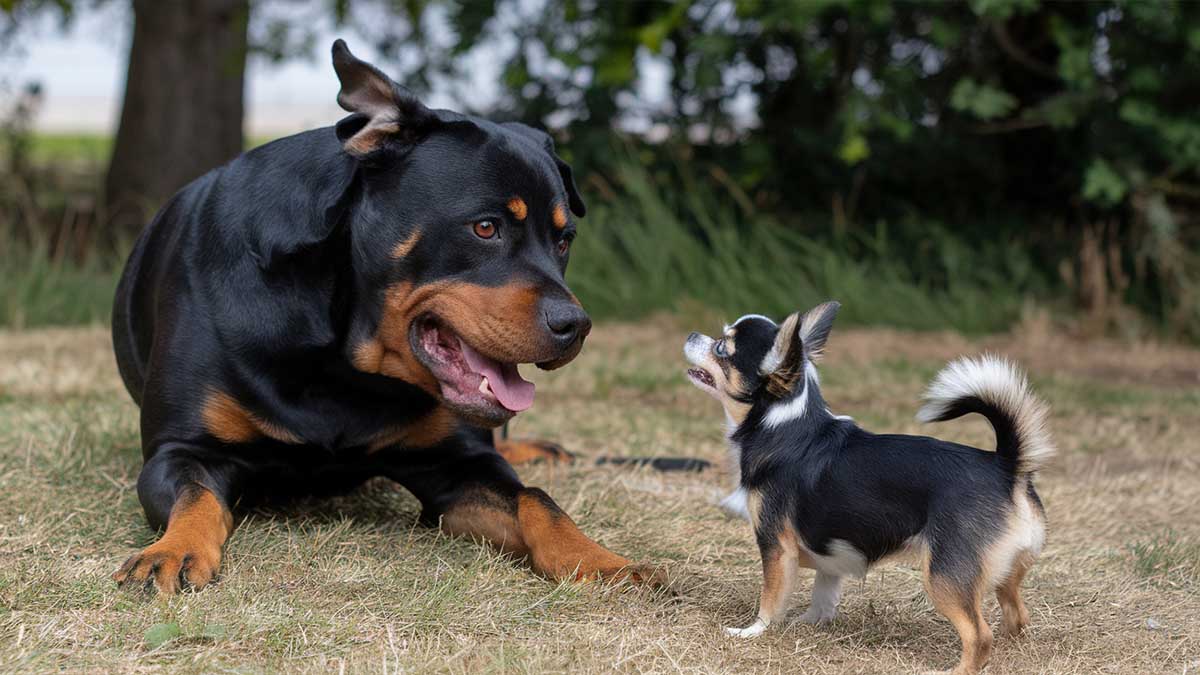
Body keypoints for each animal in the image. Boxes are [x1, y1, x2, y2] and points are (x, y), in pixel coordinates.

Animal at [110, 39, 657, 590]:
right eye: (485, 228)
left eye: (564, 241)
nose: (576, 326)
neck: (344, 355)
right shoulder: (179, 449)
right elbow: (194, 495)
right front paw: (173, 550)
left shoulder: (457, 464)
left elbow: (535, 499)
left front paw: (601, 561)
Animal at [686, 300, 1051, 672]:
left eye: (722, 348)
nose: (692, 334)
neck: (781, 423)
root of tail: (1007, 466)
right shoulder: (827, 555)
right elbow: (823, 593)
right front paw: (811, 622)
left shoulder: (776, 545)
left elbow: (771, 598)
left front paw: (753, 631)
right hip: (1005, 574)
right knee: (1016, 616)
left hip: (944, 576)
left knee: (979, 635)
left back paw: (959, 668)